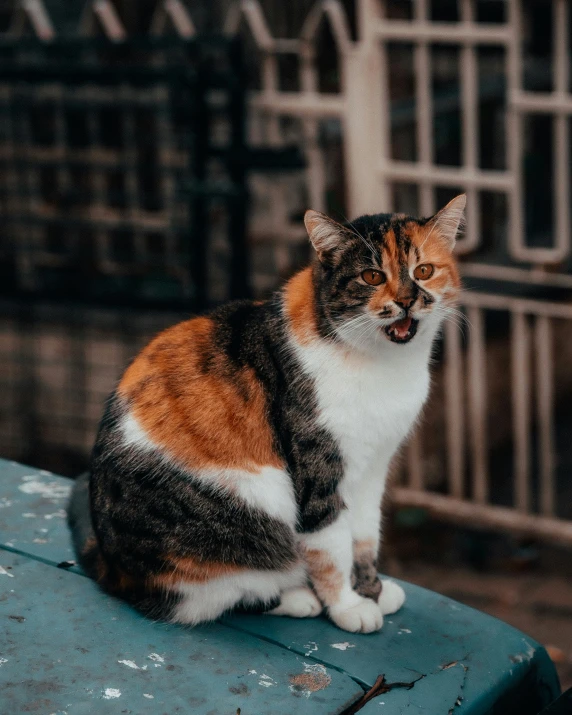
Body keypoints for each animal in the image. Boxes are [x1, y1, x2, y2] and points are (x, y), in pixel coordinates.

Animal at [67, 194, 464, 632]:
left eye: (424, 271)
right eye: (372, 276)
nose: (408, 300)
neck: (385, 365)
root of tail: (110, 565)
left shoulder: (372, 467)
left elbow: (364, 537)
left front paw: (372, 591)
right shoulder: (318, 472)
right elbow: (331, 546)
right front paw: (348, 606)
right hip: (248, 519)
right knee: (216, 597)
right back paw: (297, 598)